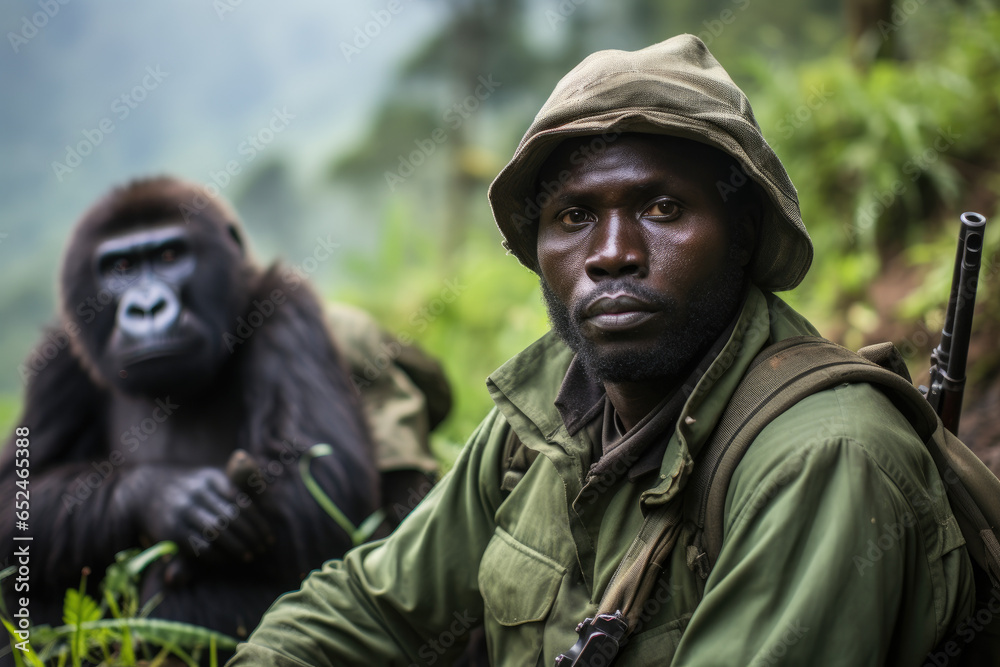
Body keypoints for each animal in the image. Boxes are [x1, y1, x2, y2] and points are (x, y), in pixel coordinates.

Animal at [0, 176, 380, 640]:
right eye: (120, 267)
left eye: (170, 256)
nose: (147, 309)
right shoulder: (57, 359)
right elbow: (14, 498)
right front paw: (162, 497)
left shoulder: (288, 307)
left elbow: (328, 485)